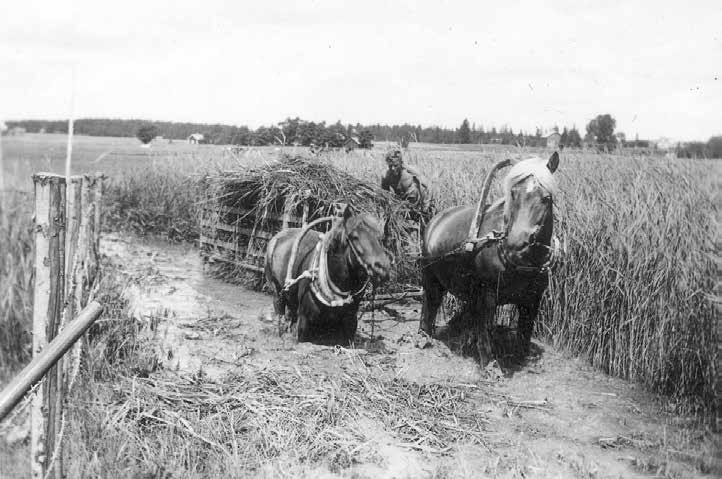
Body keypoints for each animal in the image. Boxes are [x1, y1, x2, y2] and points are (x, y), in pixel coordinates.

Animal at [262, 204, 388, 344]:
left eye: (381, 238)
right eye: (354, 237)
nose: (382, 267)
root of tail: (277, 237)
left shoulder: (350, 323)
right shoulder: (304, 321)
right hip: (275, 289)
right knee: (279, 307)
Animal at [416, 152, 564, 366]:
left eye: (546, 198)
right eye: (513, 193)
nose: (516, 243)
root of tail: (436, 219)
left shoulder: (533, 299)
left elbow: (524, 332)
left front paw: (520, 357)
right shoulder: (488, 295)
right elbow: (485, 328)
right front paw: (489, 364)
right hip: (430, 275)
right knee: (430, 303)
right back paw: (423, 336)